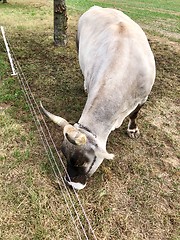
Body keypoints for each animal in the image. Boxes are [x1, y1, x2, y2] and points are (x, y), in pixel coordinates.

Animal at [40, 6, 155, 189]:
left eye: (82, 162)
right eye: (64, 155)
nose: (71, 184)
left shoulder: (143, 96)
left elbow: (135, 113)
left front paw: (132, 129)